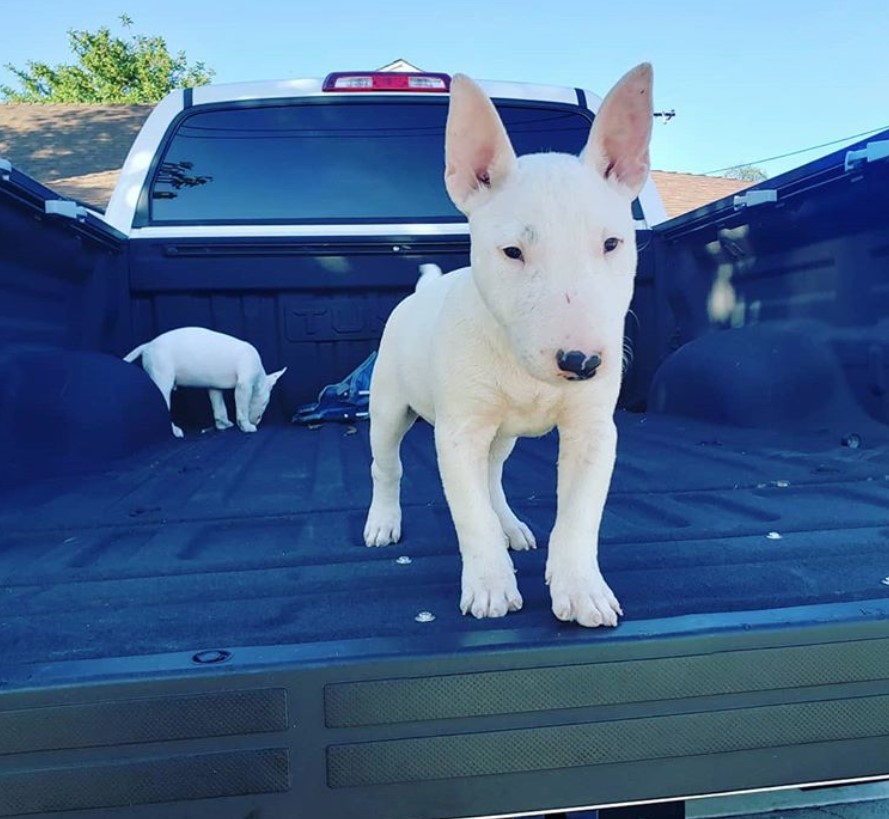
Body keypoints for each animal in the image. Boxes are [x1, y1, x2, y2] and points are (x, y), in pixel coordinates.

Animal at [123, 330, 284, 438]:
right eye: (266, 403)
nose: (257, 421)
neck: (259, 377)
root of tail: (148, 346)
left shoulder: (214, 388)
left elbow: (219, 407)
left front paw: (223, 424)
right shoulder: (244, 385)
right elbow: (242, 408)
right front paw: (246, 426)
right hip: (162, 381)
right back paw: (174, 430)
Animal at [360, 64, 652, 628]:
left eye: (612, 244)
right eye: (512, 251)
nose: (583, 363)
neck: (520, 365)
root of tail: (423, 292)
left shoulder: (593, 431)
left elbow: (579, 515)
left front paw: (582, 589)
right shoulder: (458, 433)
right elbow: (469, 516)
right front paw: (490, 587)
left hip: (503, 434)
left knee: (493, 474)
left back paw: (511, 525)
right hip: (388, 407)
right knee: (387, 466)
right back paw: (383, 521)